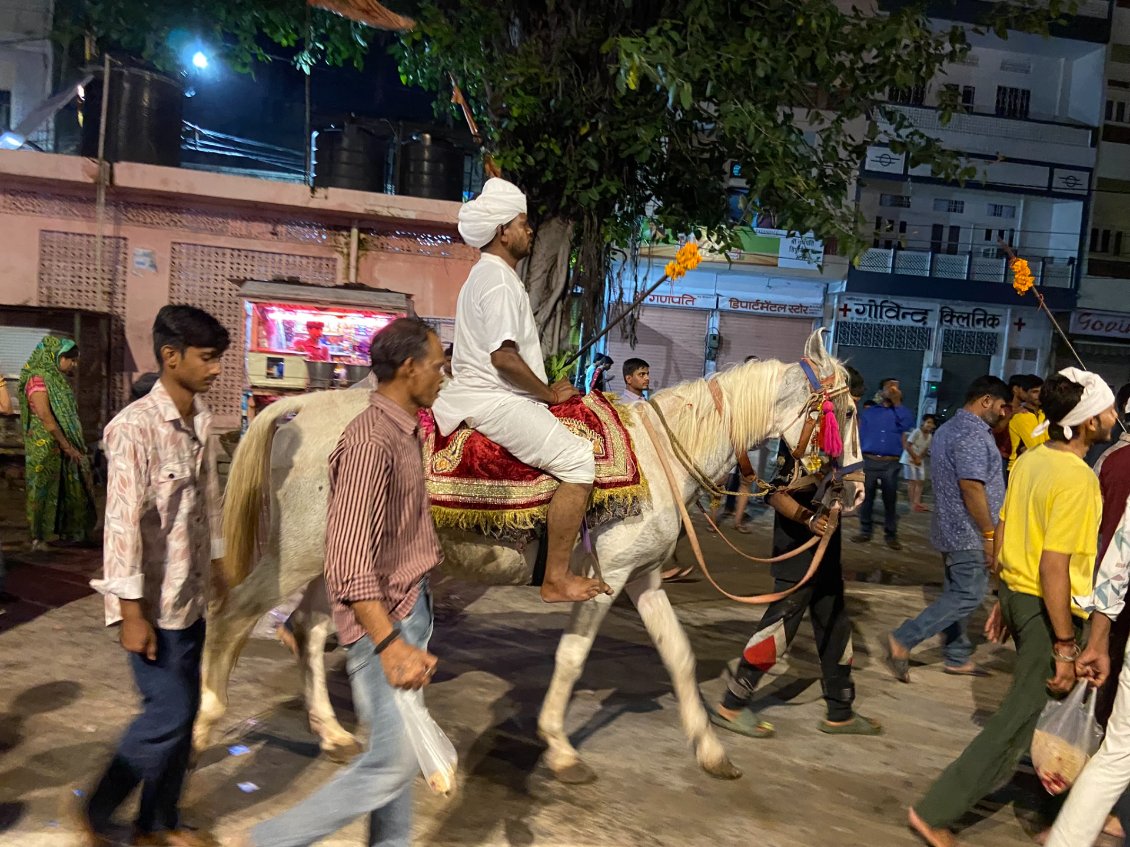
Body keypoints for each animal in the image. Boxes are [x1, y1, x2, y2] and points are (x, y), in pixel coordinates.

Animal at [198, 329, 858, 781]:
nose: (851, 492)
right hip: (297, 551)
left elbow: (679, 657)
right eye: (847, 411)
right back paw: (206, 720)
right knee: (234, 614)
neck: (661, 453)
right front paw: (561, 748)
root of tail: (299, 408)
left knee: (307, 629)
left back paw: (332, 733)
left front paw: (711, 749)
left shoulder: (644, 578)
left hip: (331, 557)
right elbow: (571, 659)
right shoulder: (607, 578)